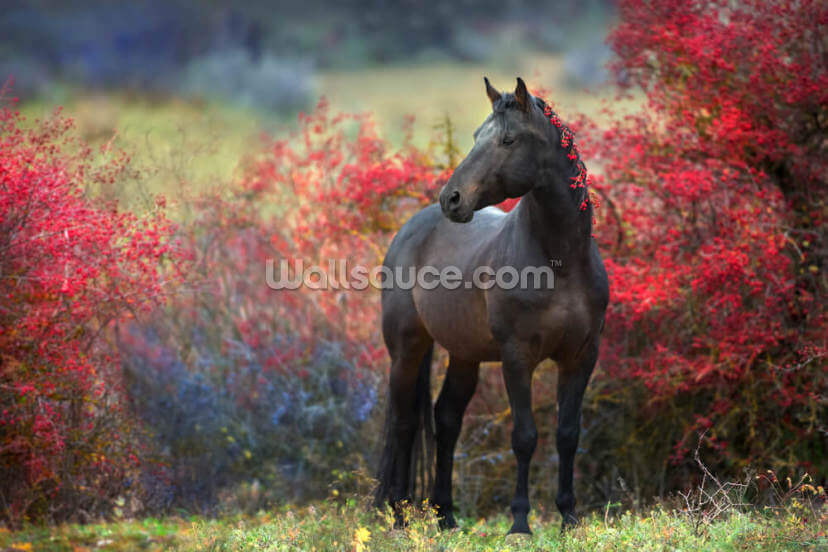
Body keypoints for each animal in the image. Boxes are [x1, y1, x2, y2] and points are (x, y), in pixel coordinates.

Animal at [374, 77, 609, 535]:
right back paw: (397, 515)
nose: (451, 199)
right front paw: (520, 523)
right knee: (403, 423)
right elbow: (525, 437)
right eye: (474, 137)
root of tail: (411, 227)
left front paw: (569, 517)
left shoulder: (581, 356)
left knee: (446, 419)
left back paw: (446, 516)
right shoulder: (517, 357)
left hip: (464, 354)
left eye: (508, 139)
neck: (560, 262)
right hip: (407, 349)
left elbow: (567, 434)